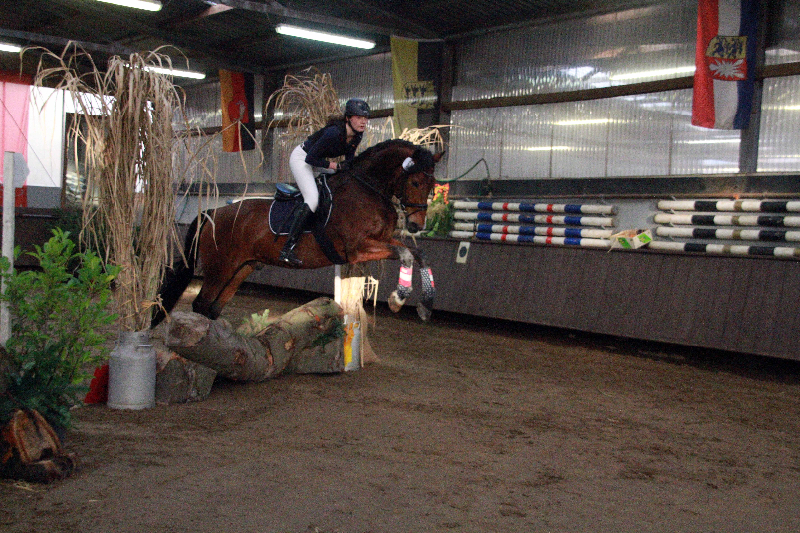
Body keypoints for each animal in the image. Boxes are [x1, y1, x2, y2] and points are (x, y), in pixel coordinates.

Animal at [152, 139, 444, 327]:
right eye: (415, 182)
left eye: (432, 184)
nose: (417, 225)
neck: (368, 188)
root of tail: (212, 213)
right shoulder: (357, 248)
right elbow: (406, 253)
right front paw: (398, 299)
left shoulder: (381, 240)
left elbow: (418, 252)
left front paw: (425, 306)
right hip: (219, 268)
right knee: (201, 304)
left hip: (241, 268)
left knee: (213, 307)